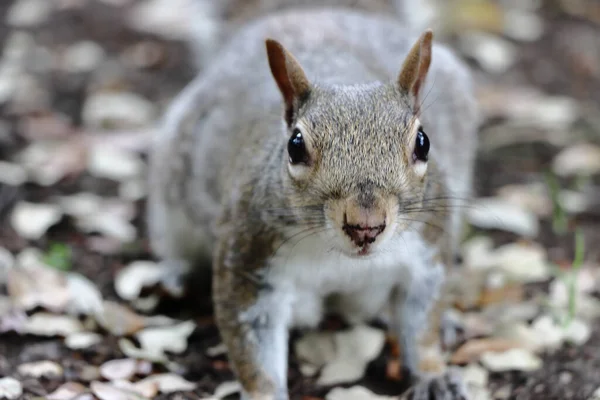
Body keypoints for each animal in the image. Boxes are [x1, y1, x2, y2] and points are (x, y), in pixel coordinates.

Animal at [149, 6, 478, 400]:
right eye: (294, 145)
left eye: (423, 142)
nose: (365, 225)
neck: (339, 258)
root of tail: (309, 12)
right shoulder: (248, 259)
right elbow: (252, 345)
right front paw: (264, 393)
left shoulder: (427, 251)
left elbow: (422, 323)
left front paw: (433, 375)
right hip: (172, 188)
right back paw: (176, 273)